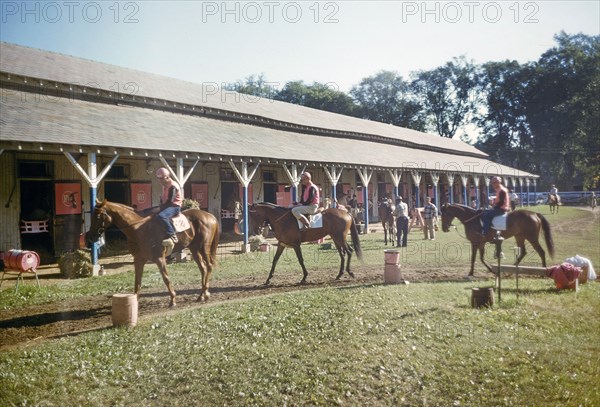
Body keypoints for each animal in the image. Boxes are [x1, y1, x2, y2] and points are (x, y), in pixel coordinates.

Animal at [85, 199, 219, 308]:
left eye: (98, 216)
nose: (90, 237)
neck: (139, 229)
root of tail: (210, 216)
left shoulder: (159, 259)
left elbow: (166, 278)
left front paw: (173, 300)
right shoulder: (138, 260)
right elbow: (137, 281)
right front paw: (135, 301)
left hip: (204, 248)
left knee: (209, 266)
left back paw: (205, 294)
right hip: (194, 249)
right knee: (203, 269)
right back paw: (202, 295)